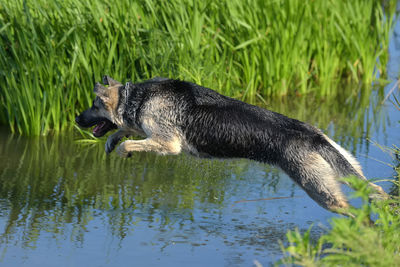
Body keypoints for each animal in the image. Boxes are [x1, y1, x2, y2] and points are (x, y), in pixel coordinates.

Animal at [76, 75, 388, 216]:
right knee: (375, 189)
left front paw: (122, 149)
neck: (137, 97)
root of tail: (311, 135)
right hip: (341, 171)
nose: (76, 119)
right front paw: (113, 141)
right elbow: (126, 130)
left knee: (354, 210)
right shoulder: (148, 131)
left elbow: (131, 142)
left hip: (319, 190)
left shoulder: (168, 143)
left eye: (92, 106)